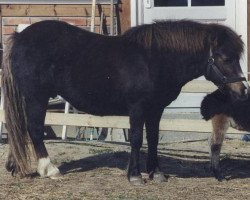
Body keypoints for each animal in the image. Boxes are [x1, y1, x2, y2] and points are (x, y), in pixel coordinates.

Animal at [2, 19, 248, 185]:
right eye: (226, 58)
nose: (242, 90)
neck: (153, 59)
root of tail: (19, 37)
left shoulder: (155, 109)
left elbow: (153, 139)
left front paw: (156, 173)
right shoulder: (137, 108)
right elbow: (137, 139)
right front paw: (135, 176)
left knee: (20, 130)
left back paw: (16, 167)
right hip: (36, 97)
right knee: (34, 130)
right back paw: (49, 169)